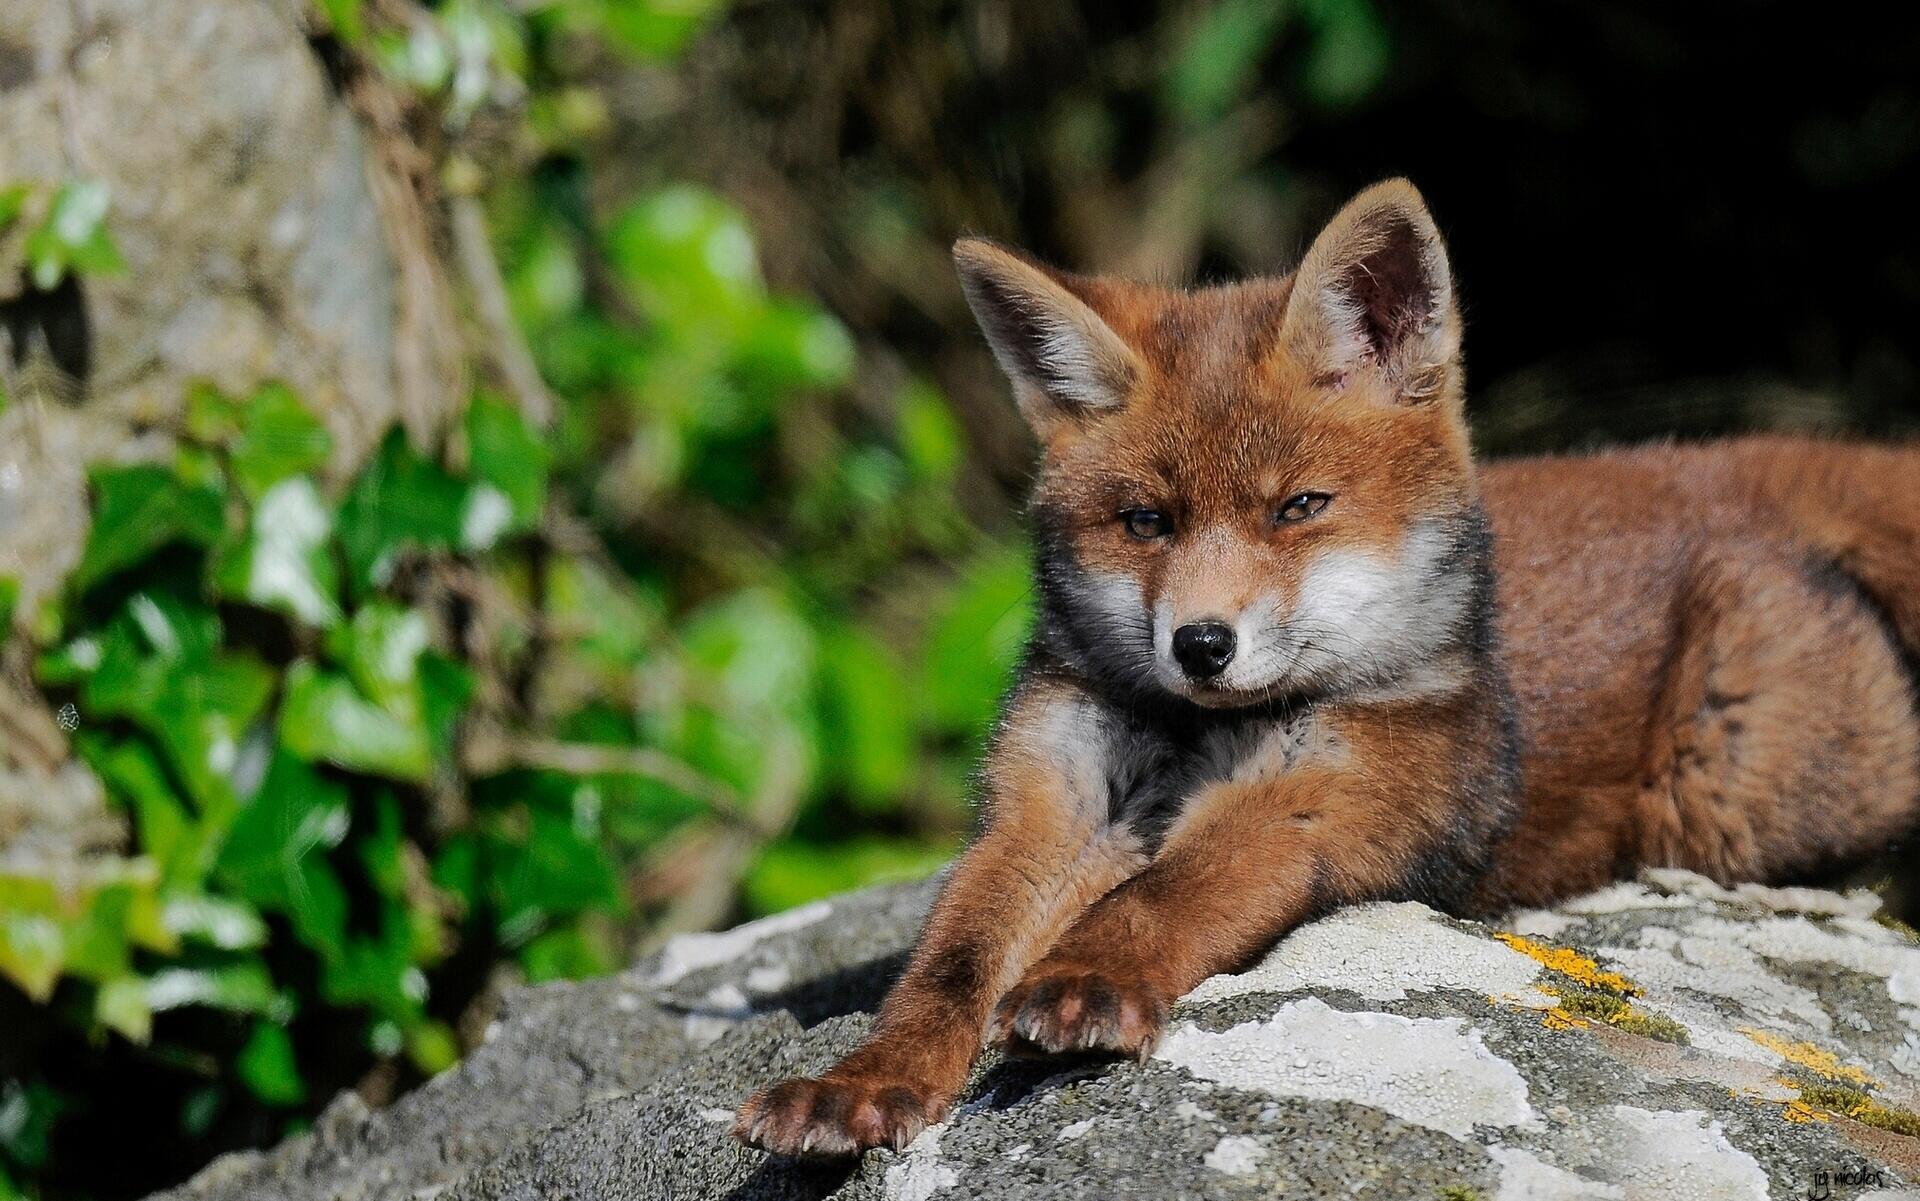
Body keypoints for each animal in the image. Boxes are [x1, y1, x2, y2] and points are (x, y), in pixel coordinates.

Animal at [729, 175, 1920, 1151]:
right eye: (1146, 522)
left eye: (1298, 507)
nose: (1201, 644)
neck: (1195, 736)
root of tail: (1704, 468)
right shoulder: (1051, 800)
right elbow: (948, 965)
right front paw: (863, 1080)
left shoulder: (1331, 790)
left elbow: (1170, 893)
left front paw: (1086, 978)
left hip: (1736, 800)